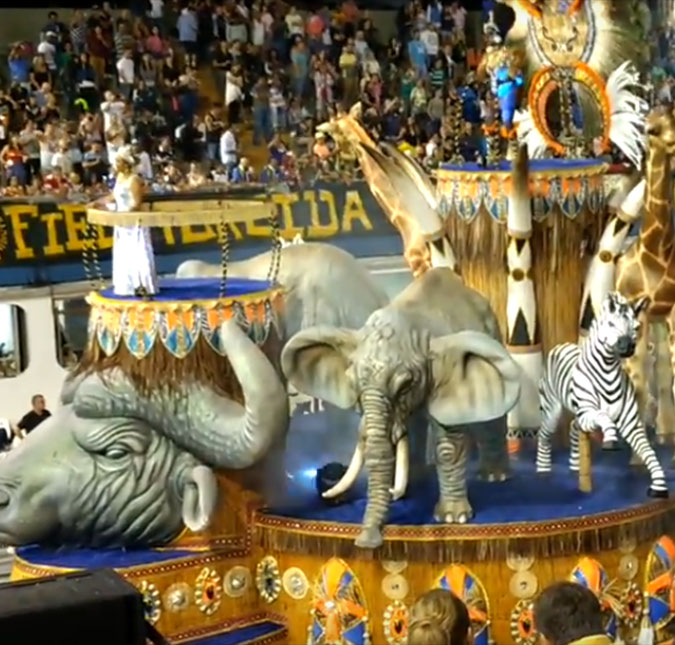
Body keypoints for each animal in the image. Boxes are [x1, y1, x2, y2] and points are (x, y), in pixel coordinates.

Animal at [536, 292, 668, 498]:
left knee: (573, 426)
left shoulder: (631, 424)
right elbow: (604, 417)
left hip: (577, 415)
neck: (608, 372)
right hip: (552, 409)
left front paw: (659, 486)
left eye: (636, 327)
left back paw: (575, 466)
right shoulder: (590, 412)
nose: (628, 346)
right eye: (611, 324)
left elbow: (648, 452)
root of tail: (562, 345)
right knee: (544, 433)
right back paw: (543, 471)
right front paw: (610, 439)